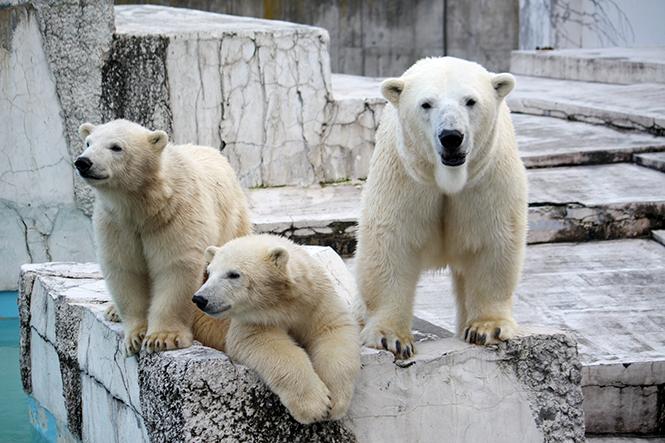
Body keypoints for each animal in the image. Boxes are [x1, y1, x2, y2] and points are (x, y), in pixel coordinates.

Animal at [75, 119, 251, 355]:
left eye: (116, 147)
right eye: (88, 142)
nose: (83, 162)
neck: (145, 205)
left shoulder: (176, 214)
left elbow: (174, 267)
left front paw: (162, 338)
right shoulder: (117, 224)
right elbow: (125, 269)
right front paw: (136, 337)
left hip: (232, 219)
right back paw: (112, 310)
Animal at [192, 234, 361, 425]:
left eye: (233, 274)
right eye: (210, 272)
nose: (200, 299)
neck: (282, 303)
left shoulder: (315, 300)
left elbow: (333, 330)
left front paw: (336, 401)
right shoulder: (254, 320)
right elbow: (264, 343)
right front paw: (315, 406)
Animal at [355, 57, 528, 359]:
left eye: (470, 101)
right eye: (426, 104)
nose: (451, 136)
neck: (448, 177)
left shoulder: (486, 179)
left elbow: (494, 241)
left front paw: (487, 328)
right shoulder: (405, 177)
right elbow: (390, 244)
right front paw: (391, 338)